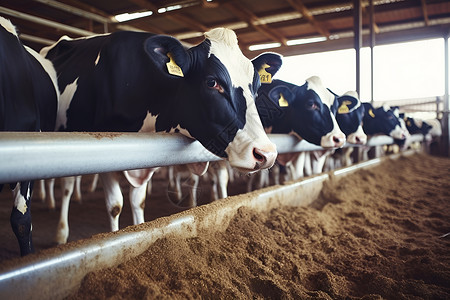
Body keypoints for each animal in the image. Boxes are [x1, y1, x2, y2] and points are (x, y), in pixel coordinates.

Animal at [42, 27, 282, 244]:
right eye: (212, 82)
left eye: (256, 87)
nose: (266, 154)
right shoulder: (103, 154)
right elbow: (115, 205)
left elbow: (138, 202)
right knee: (67, 186)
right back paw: (61, 232)